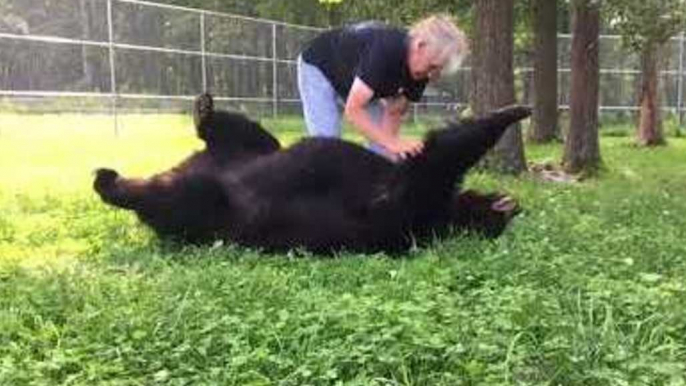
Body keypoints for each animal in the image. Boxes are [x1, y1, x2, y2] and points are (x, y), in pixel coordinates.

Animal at [92, 94, 532, 255]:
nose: (514, 207)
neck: (448, 216)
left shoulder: (411, 204)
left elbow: (437, 157)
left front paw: (508, 113)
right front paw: (513, 112)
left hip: (212, 208)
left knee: (172, 198)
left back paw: (111, 182)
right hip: (255, 148)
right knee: (247, 133)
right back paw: (205, 112)